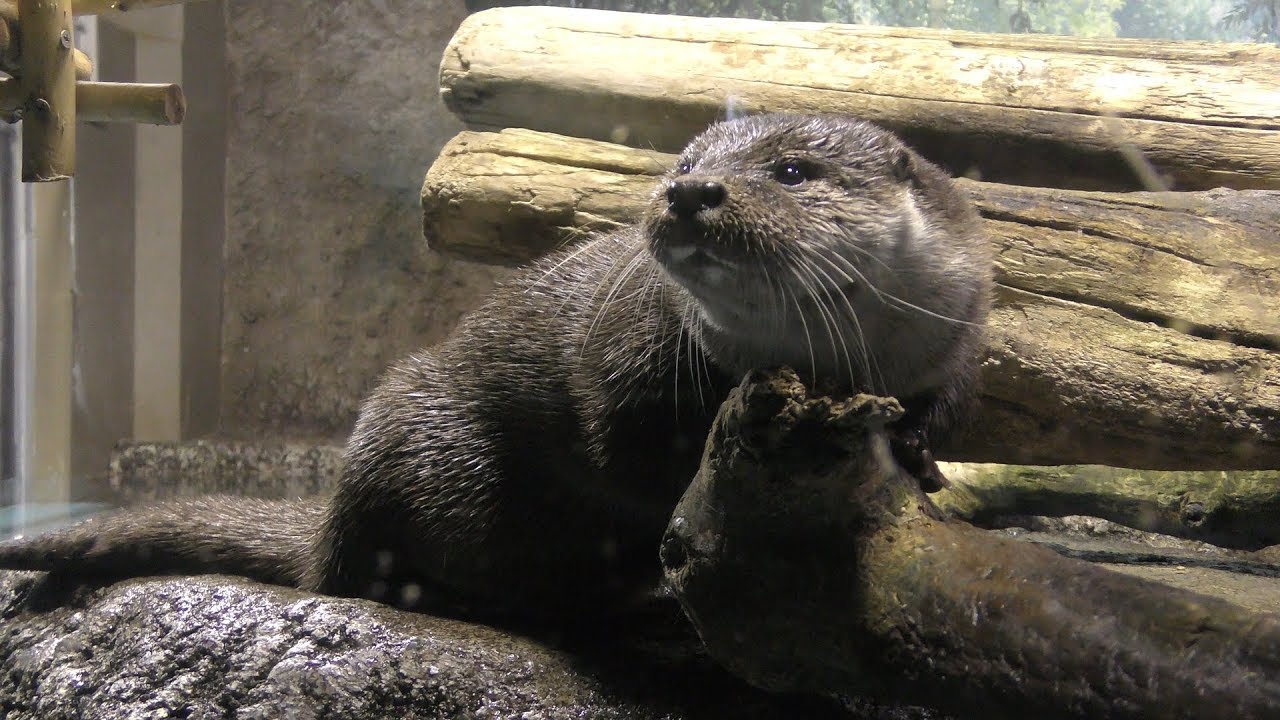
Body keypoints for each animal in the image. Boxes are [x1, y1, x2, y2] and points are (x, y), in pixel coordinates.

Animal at [0, 114, 991, 619]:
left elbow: (931, 409)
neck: (831, 358)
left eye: (790, 171)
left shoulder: (953, 337)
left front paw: (920, 455)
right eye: (683, 159)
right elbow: (622, 451)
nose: (687, 192)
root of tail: (331, 511)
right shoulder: (639, 355)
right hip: (417, 437)